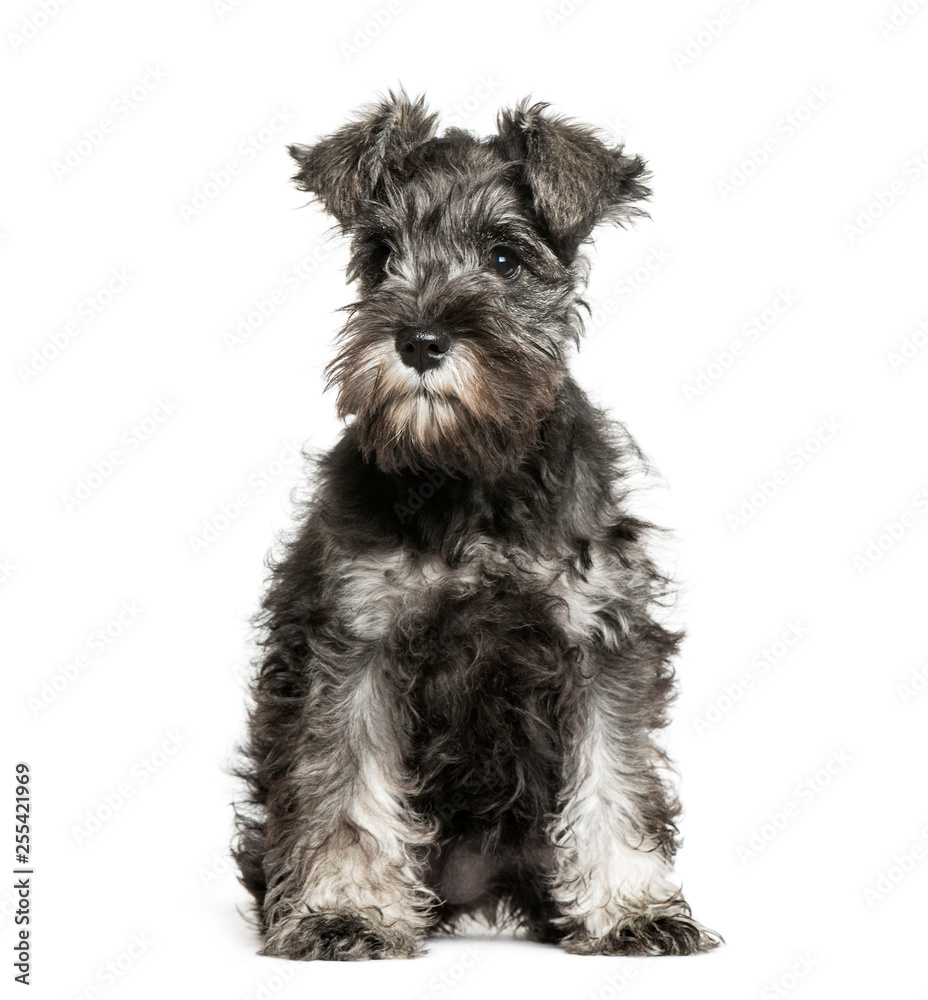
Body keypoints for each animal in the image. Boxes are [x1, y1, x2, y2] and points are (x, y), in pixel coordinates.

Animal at [230, 94, 716, 960]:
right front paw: (345, 911)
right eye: (381, 255)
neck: (470, 474)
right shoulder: (355, 644)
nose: (420, 339)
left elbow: (616, 780)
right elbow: (347, 786)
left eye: (505, 258)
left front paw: (631, 910)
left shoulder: (603, 643)